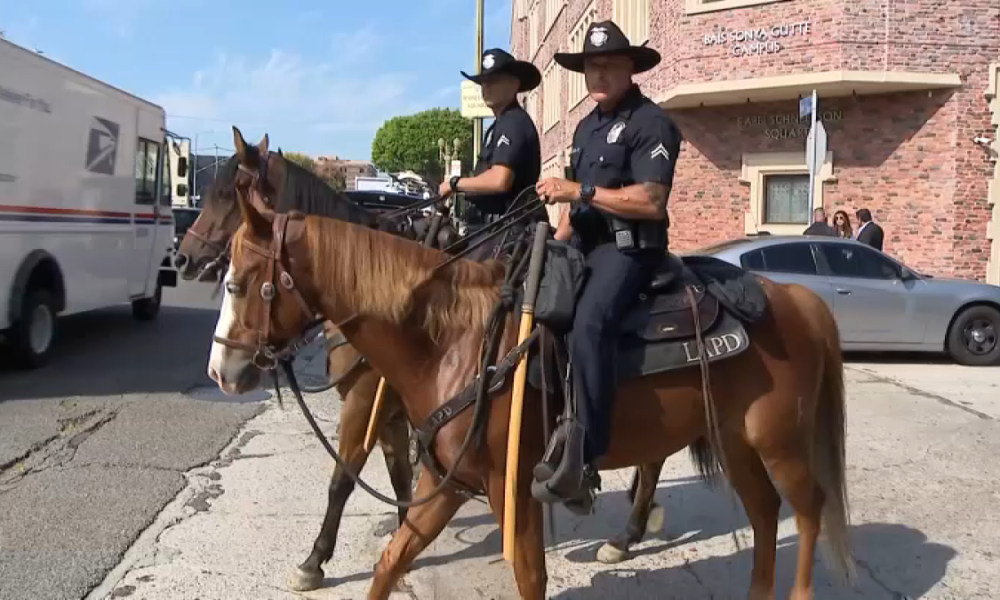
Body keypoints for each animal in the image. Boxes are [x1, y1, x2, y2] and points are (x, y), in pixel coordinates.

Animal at [209, 193, 852, 600]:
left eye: (239, 282)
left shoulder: (509, 487)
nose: (221, 370)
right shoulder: (447, 480)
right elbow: (392, 560)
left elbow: (527, 578)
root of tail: (796, 298)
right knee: (765, 512)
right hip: (738, 443)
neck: (454, 340)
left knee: (807, 510)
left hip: (780, 443)